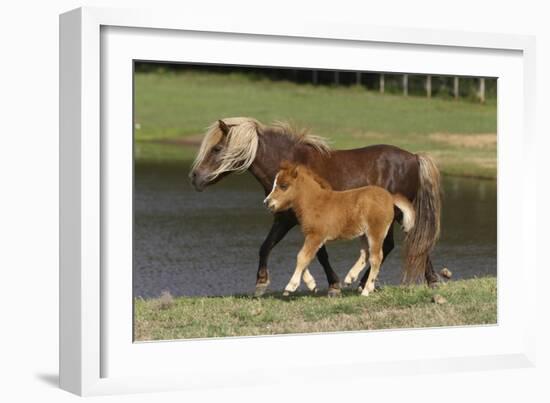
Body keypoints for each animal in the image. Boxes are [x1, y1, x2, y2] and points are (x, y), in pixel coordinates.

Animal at [266, 163, 416, 298]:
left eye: (283, 186)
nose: (267, 202)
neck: (314, 202)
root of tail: (390, 197)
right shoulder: (313, 237)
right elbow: (306, 257)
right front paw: (311, 284)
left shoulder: (316, 235)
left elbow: (302, 257)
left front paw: (290, 286)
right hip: (364, 233)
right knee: (365, 254)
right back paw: (350, 278)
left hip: (376, 231)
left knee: (376, 257)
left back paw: (366, 290)